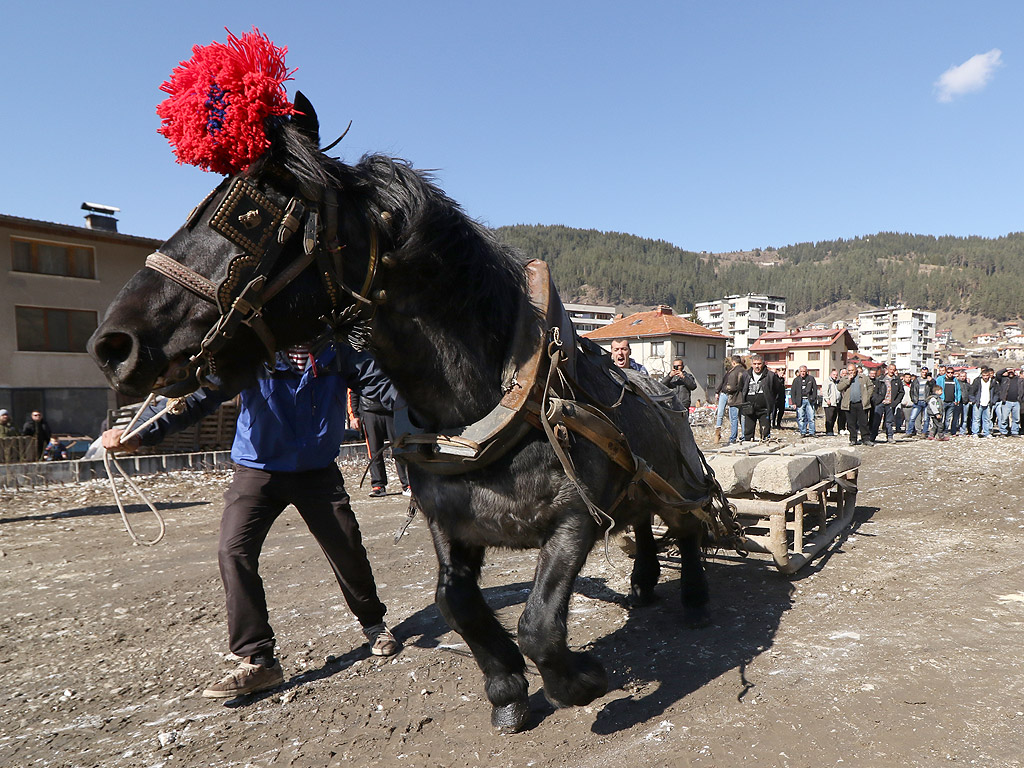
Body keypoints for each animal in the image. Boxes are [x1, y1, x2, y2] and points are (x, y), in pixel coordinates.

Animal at [88, 97, 733, 733]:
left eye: (245, 213)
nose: (113, 345)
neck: (483, 412)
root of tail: (664, 394)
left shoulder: (575, 517)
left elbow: (539, 623)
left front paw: (584, 679)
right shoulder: (449, 522)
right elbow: (455, 601)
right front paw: (507, 691)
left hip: (680, 483)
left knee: (688, 528)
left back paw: (697, 600)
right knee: (644, 526)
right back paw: (644, 584)